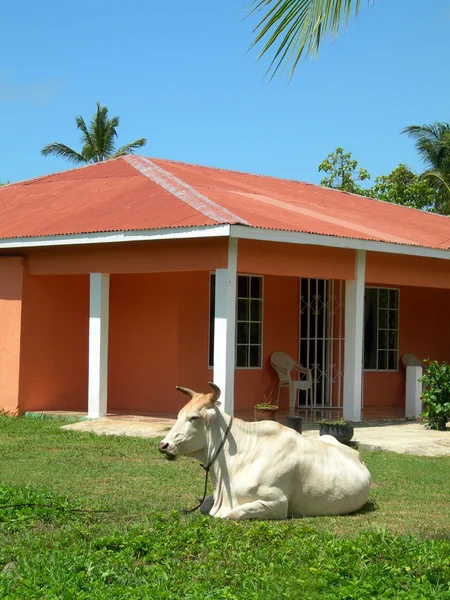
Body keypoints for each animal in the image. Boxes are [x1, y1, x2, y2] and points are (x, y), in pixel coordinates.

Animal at [160, 384, 370, 520]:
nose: (163, 445)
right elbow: (204, 506)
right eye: (179, 415)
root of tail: (357, 455)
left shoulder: (278, 503)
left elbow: (233, 513)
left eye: (194, 417)